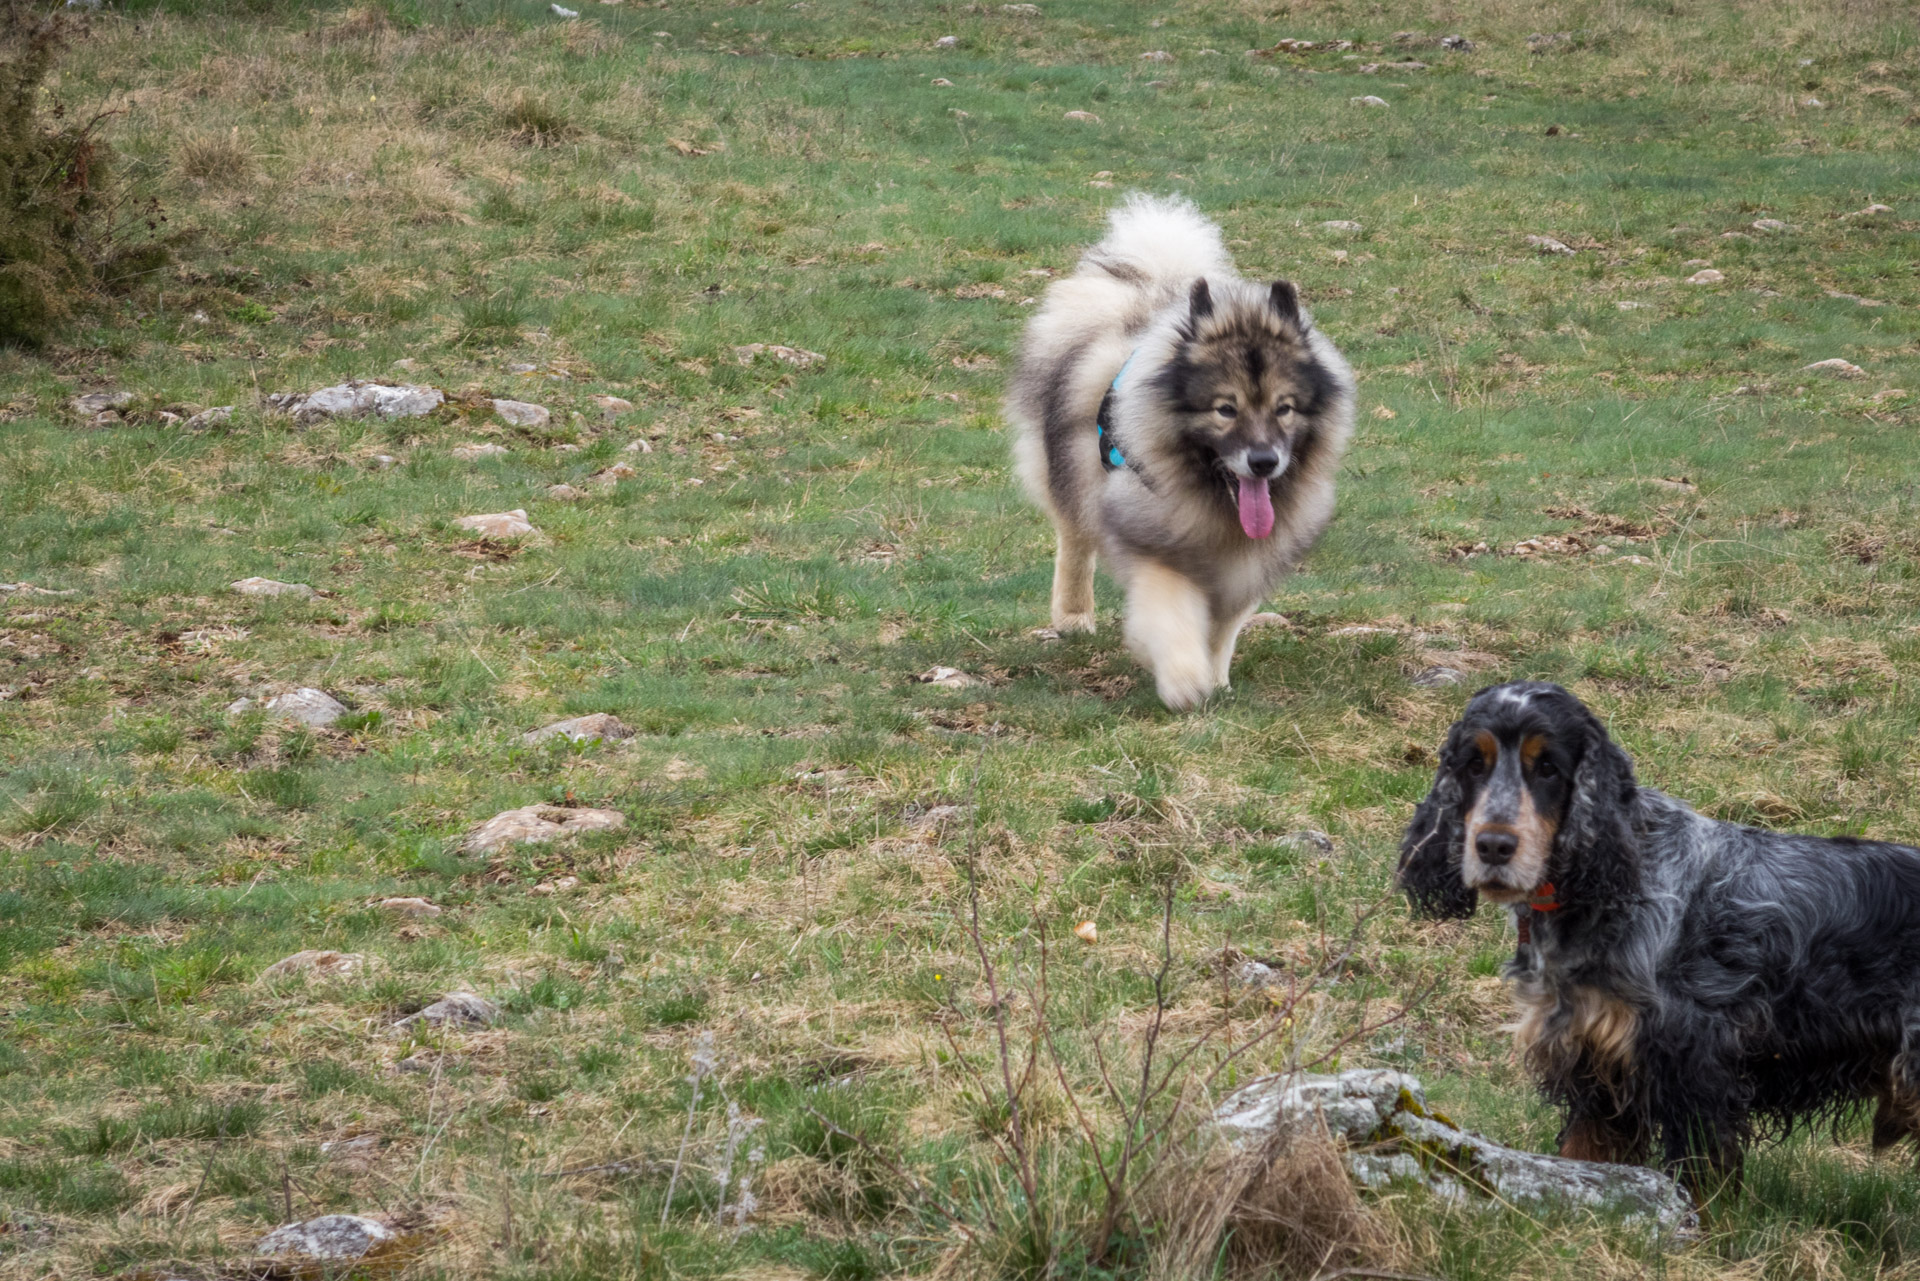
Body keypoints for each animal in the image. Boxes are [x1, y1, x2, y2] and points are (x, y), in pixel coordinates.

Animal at [1013, 195, 1359, 706]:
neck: (1214, 503)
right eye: (1225, 409)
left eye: (1284, 408)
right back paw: (1074, 617)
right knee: (1074, 538)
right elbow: (1171, 615)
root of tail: (1149, 291)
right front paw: (1184, 680)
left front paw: (1215, 679)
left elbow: (1221, 629)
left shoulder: (1240, 568)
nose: (1263, 462)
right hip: (1071, 472)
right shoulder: (1155, 547)